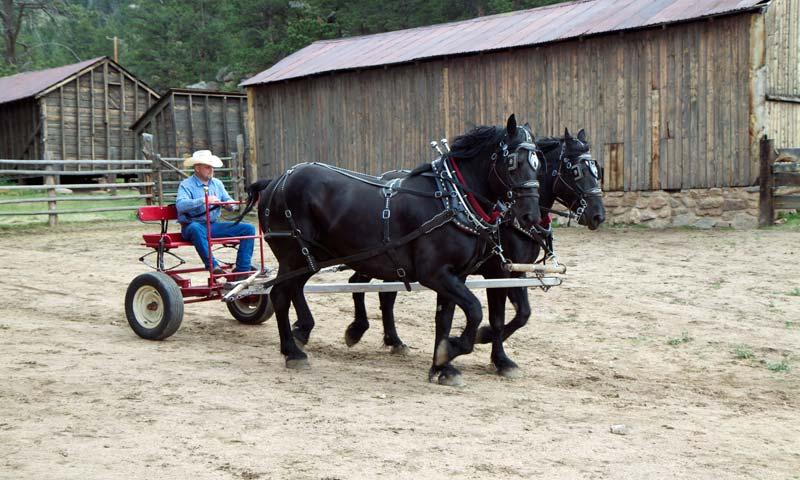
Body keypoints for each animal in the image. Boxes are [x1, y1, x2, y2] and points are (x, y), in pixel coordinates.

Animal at [242, 115, 543, 386]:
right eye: (513, 162)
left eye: (537, 163)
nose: (531, 216)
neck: (452, 199)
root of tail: (275, 181)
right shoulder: (436, 274)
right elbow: (475, 311)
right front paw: (453, 350)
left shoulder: (456, 275)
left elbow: (445, 319)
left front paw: (441, 367)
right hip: (294, 255)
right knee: (280, 295)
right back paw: (293, 352)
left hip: (311, 257)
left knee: (295, 289)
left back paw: (302, 334)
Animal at [345, 128, 606, 377]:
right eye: (577, 171)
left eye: (597, 170)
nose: (598, 215)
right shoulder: (498, 272)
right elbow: (498, 318)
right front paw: (495, 352)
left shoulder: (516, 273)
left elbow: (523, 314)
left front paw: (484, 342)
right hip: (375, 256)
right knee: (357, 282)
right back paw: (358, 330)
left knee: (384, 294)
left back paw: (395, 341)